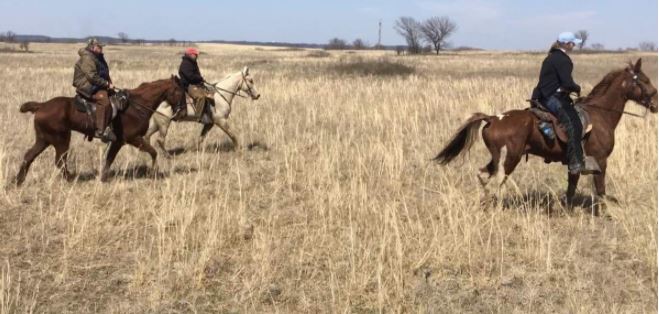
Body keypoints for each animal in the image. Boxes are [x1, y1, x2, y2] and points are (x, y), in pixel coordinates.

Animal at [16, 75, 186, 184]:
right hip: (61, 140)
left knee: (29, 156)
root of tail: (41, 106)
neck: (137, 106)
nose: (182, 112)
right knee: (59, 161)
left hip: (44, 140)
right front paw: (155, 171)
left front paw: (103, 178)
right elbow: (153, 152)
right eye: (179, 92)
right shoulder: (134, 139)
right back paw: (71, 179)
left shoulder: (118, 142)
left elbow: (109, 159)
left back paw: (18, 180)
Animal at [436, 59, 656, 209]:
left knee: (483, 175)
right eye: (644, 80)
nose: (655, 102)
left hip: (497, 158)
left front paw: (567, 210)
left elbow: (572, 188)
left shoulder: (576, 164)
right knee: (497, 180)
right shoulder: (601, 161)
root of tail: (493, 118)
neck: (600, 114)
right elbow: (601, 190)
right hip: (509, 158)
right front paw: (605, 213)